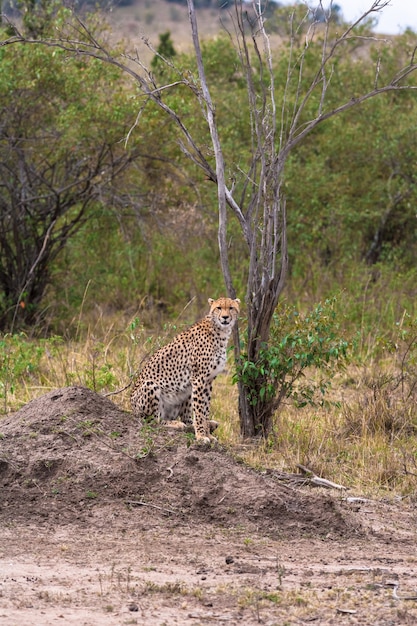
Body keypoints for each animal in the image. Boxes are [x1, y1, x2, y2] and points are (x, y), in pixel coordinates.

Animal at [130, 294, 240, 442]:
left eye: (231, 308)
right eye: (219, 308)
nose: (225, 317)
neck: (220, 331)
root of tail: (131, 408)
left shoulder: (208, 380)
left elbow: (205, 409)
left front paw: (208, 434)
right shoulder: (199, 379)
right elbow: (199, 410)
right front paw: (201, 436)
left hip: (185, 390)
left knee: (186, 418)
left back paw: (198, 425)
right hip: (150, 385)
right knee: (154, 420)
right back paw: (175, 424)